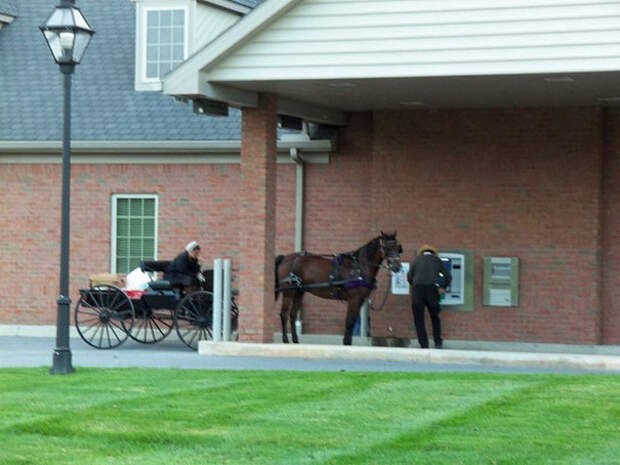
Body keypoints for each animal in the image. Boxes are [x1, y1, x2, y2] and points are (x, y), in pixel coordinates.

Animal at [274, 231, 402, 344]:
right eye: (386, 247)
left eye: (398, 247)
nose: (397, 267)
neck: (359, 267)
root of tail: (285, 258)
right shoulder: (354, 299)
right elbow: (349, 322)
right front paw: (347, 343)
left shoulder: (360, 301)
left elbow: (352, 321)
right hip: (289, 292)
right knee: (284, 314)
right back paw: (285, 340)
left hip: (299, 292)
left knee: (292, 315)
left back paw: (295, 340)